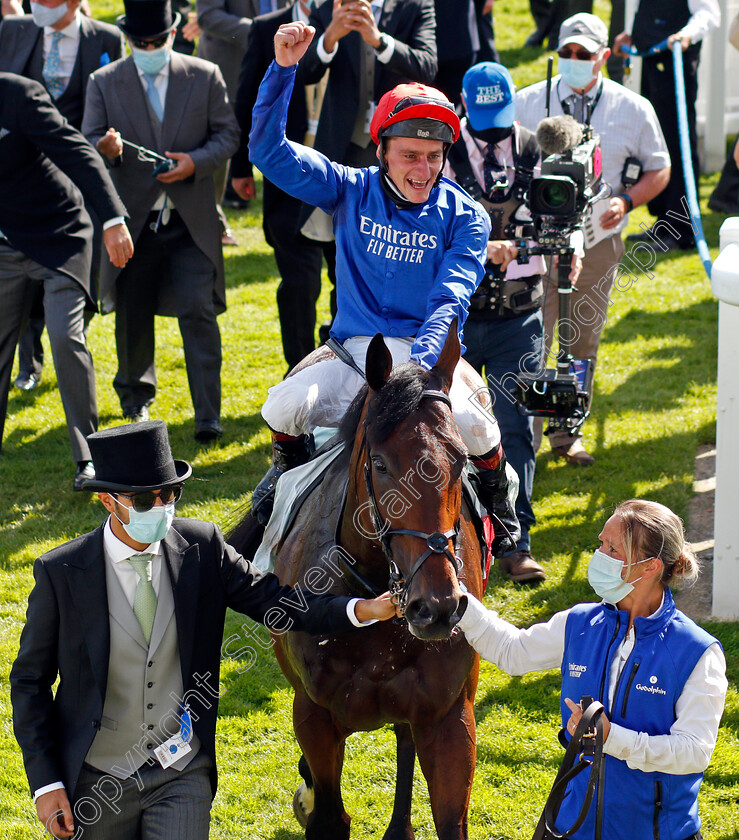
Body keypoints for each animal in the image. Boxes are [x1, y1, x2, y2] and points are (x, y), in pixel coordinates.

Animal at [228, 324, 488, 840]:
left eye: (459, 460)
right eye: (382, 464)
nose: (438, 606)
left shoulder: (449, 716)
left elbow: (450, 819)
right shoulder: (315, 715)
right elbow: (329, 815)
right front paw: (310, 797)